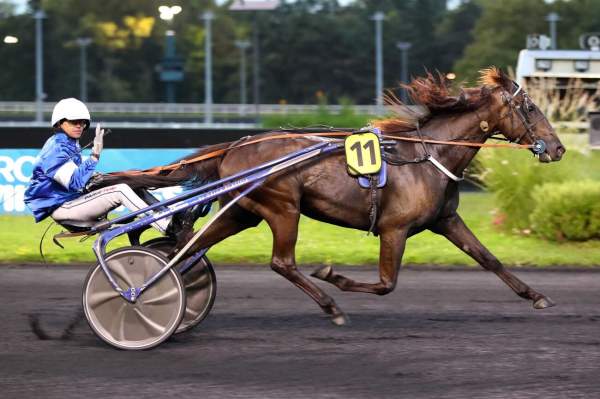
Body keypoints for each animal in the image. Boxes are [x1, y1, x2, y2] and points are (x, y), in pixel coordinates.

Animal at [92, 68, 564, 324]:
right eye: (531, 108)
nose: (558, 148)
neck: (427, 156)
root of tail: (237, 145)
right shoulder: (394, 228)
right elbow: (386, 284)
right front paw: (333, 275)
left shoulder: (445, 221)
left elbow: (489, 259)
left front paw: (536, 295)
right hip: (283, 207)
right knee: (281, 262)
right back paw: (329, 303)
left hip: (244, 210)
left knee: (190, 248)